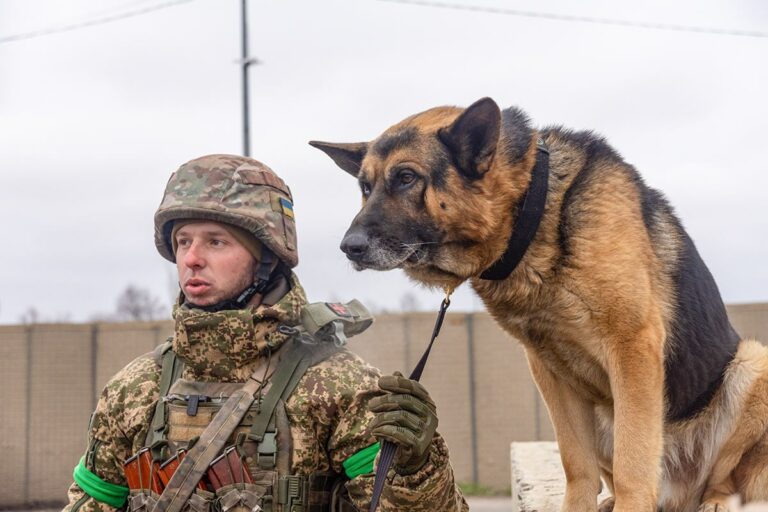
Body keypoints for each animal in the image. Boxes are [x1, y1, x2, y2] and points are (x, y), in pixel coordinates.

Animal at [310, 97, 768, 512]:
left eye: (406, 177)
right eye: (365, 188)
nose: (349, 248)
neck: (533, 211)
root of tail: (680, 494)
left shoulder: (633, 347)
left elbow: (634, 462)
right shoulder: (548, 368)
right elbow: (576, 463)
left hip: (751, 363)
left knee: (724, 479)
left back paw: (714, 500)